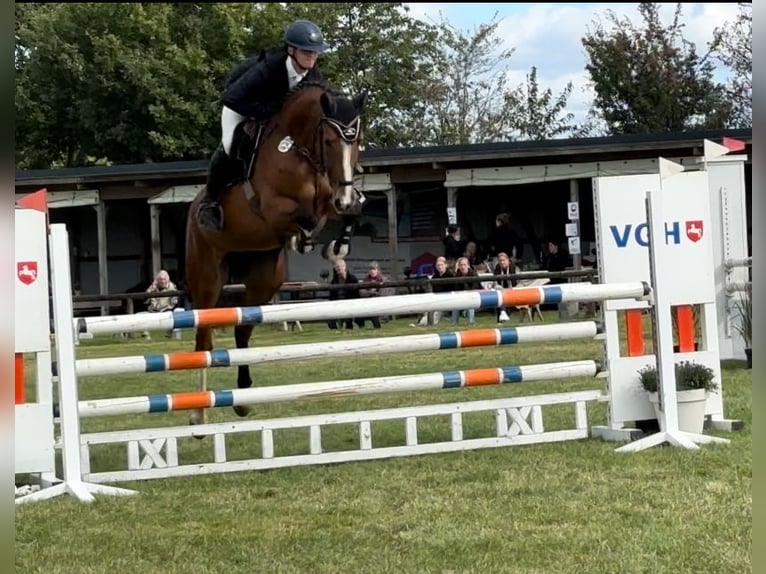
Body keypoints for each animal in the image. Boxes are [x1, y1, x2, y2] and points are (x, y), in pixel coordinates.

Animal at [184, 81, 368, 426]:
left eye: (358, 142)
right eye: (328, 141)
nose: (345, 197)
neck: (301, 150)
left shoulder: (331, 198)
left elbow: (350, 212)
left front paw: (336, 245)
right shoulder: (272, 209)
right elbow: (306, 217)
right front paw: (305, 240)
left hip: (264, 278)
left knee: (242, 331)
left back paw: (243, 399)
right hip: (206, 277)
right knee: (204, 337)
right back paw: (198, 416)